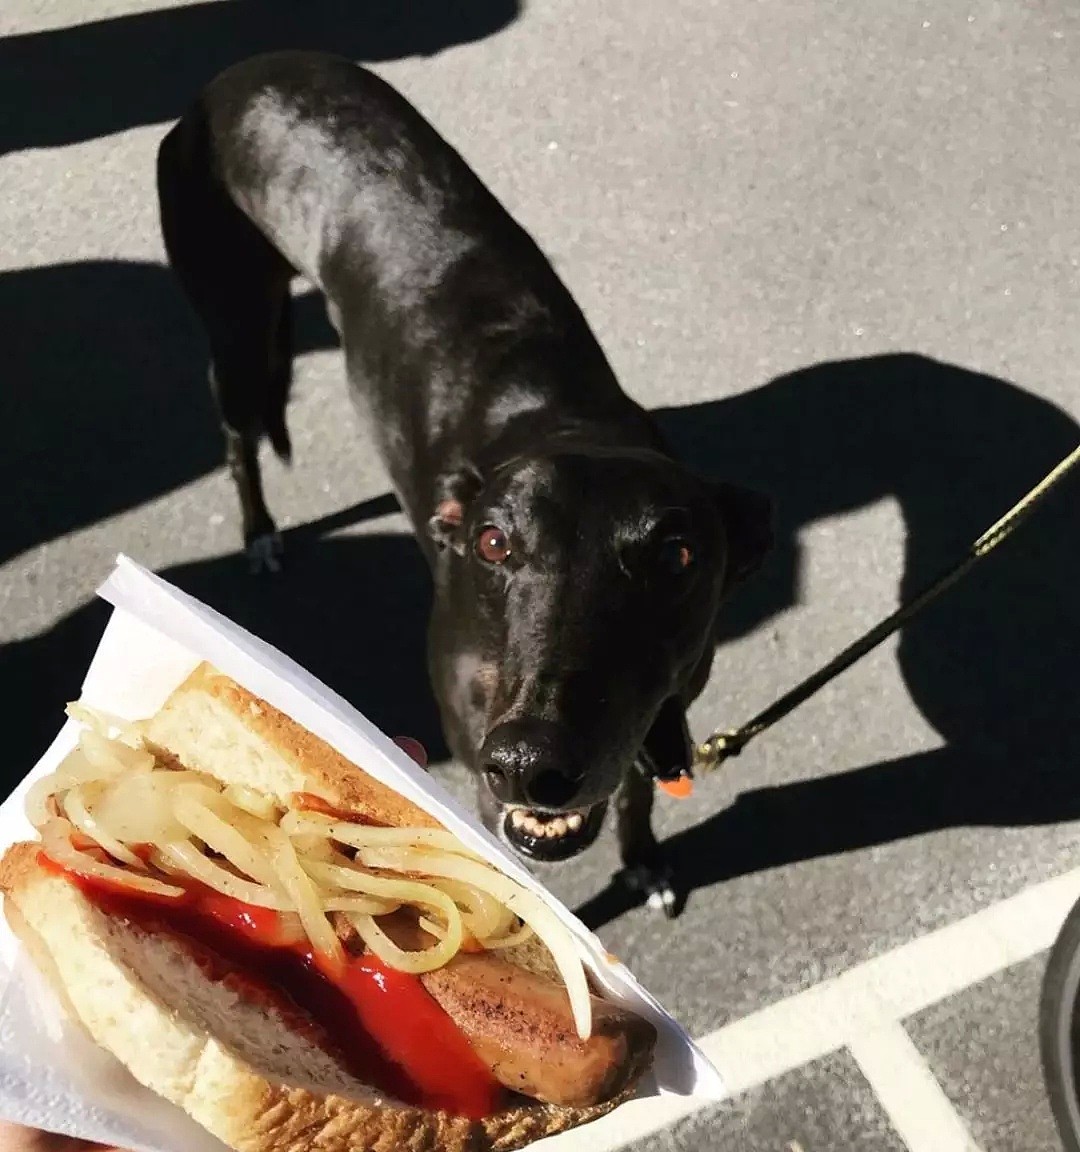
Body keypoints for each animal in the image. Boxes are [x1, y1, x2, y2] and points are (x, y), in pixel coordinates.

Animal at [155, 54, 769, 912]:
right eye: (493, 543)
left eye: (677, 556)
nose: (530, 762)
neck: (567, 420)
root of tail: (238, 73)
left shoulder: (655, 712)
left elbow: (637, 786)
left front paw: (643, 860)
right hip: (238, 328)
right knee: (239, 438)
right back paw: (260, 532)